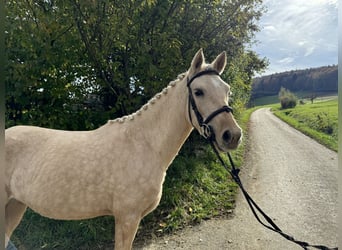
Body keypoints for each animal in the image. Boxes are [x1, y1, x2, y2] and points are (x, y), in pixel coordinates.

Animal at [4, 49, 242, 250]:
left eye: (227, 90)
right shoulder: (127, 217)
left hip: (15, 206)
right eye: (198, 92)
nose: (232, 135)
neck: (144, 144)